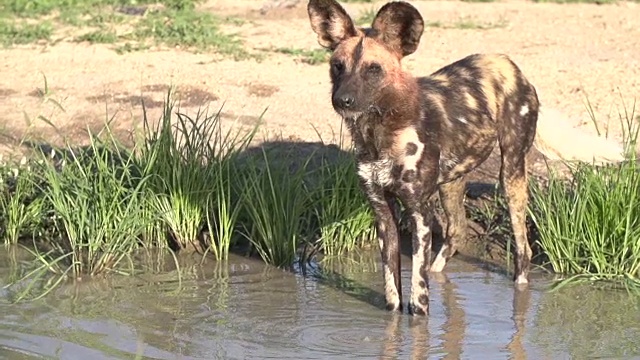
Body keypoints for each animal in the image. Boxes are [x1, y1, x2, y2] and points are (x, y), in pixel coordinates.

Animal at [304, 0, 624, 316]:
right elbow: (393, 297)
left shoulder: (420, 214)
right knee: (456, 231)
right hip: (451, 183)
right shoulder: (383, 214)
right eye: (337, 66)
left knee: (523, 250)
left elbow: (418, 300)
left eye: (373, 69)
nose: (343, 100)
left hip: (511, 175)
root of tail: (509, 64)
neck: (379, 133)